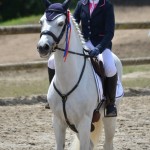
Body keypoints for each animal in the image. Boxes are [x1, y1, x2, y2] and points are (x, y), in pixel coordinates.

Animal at [36, 0, 123, 149]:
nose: (42, 47)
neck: (67, 81)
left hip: (108, 119)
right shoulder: (58, 122)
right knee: (91, 144)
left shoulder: (84, 122)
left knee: (108, 143)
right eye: (41, 21)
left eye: (60, 23)